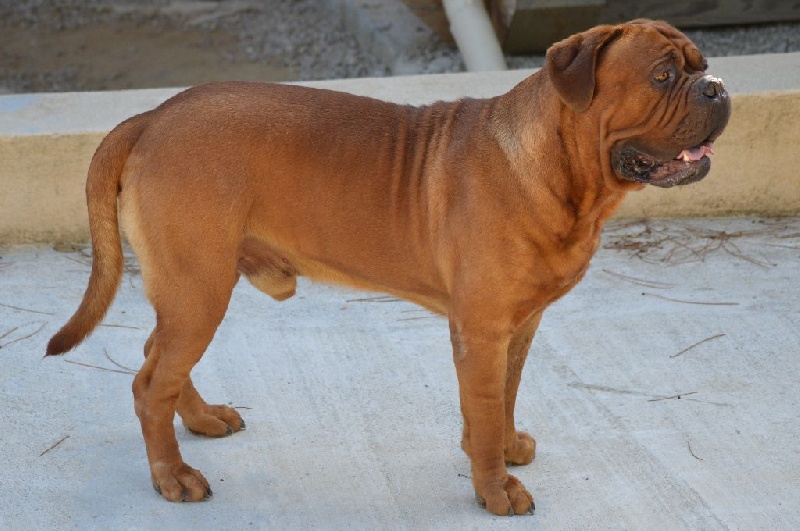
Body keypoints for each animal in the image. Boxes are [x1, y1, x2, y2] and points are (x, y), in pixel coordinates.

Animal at [47, 19, 730, 516]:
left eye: (701, 65)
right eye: (663, 75)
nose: (719, 86)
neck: (562, 172)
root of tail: (152, 116)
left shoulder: (519, 325)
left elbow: (502, 398)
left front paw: (504, 450)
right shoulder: (481, 329)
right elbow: (485, 407)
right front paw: (494, 488)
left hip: (192, 291)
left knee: (156, 360)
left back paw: (201, 419)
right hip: (199, 289)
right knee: (149, 382)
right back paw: (174, 476)